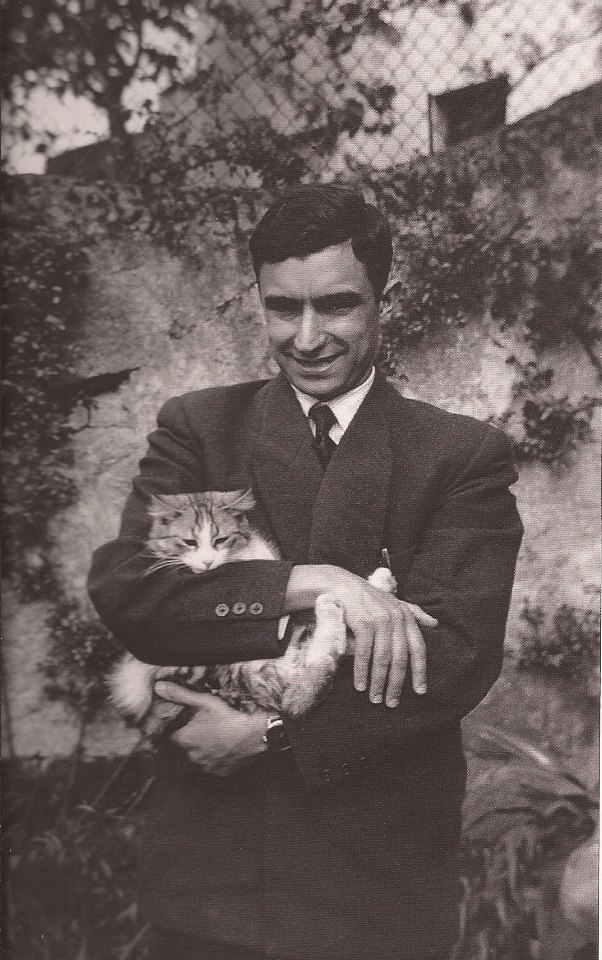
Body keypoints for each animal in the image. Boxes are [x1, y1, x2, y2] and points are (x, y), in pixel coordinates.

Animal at [109, 489, 396, 737]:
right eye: (189, 542)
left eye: (220, 540)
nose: (207, 562)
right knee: (314, 670)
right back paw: (336, 602)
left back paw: (378, 583)